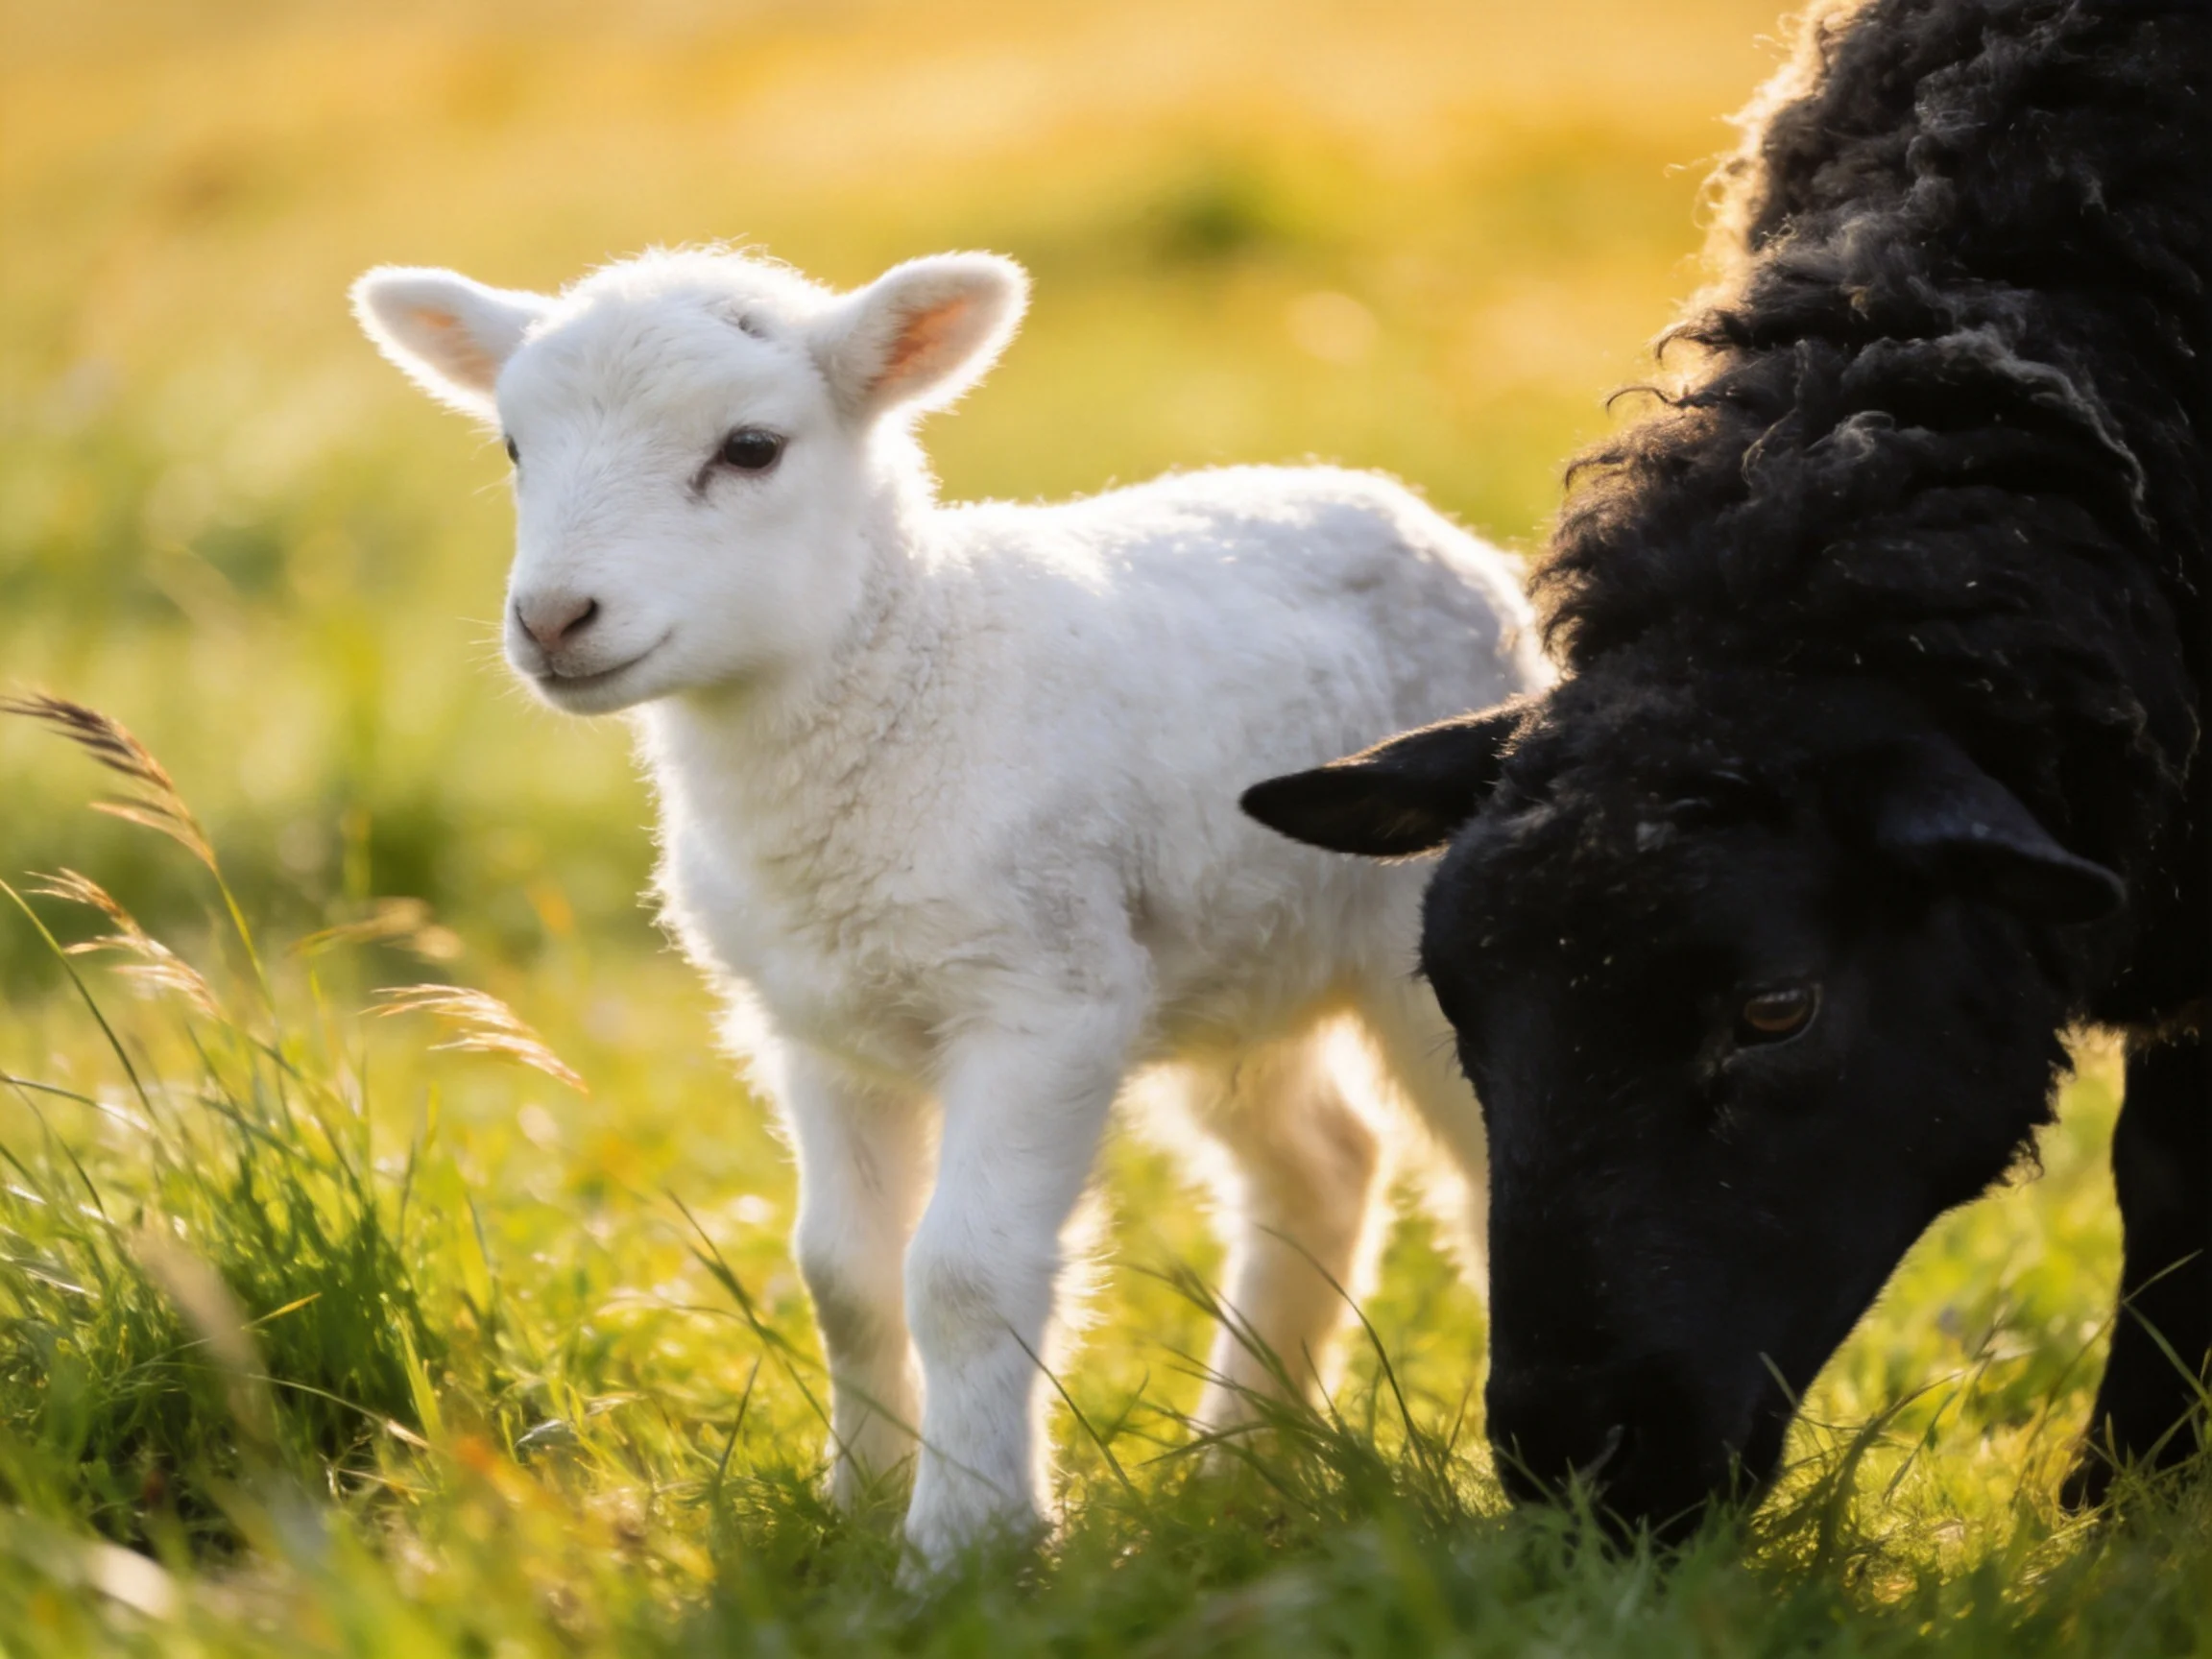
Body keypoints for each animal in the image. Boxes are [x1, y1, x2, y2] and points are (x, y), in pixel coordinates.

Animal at [351, 245, 1547, 1565]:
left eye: (751, 448)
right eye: (514, 445)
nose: (554, 619)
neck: (907, 675)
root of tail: (1392, 501)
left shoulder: (1043, 1001)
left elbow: (964, 1275)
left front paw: (968, 1541)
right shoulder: (819, 1030)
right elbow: (845, 1277)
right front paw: (858, 1507)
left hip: (1408, 949)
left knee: (1485, 1173)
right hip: (1235, 950)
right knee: (1322, 1165)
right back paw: (1240, 1462)